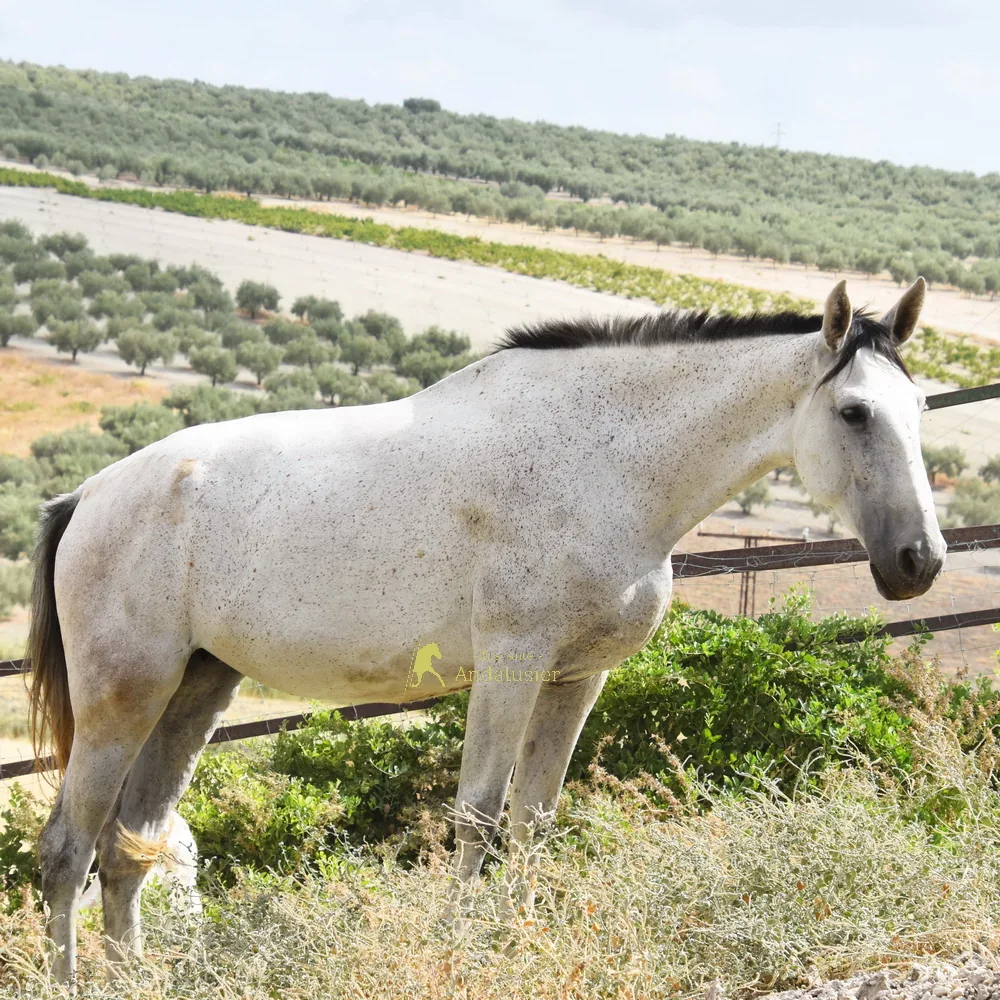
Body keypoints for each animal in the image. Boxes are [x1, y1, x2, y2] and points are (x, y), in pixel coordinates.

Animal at [26, 278, 945, 983]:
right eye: (855, 413)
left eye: (920, 408)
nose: (919, 560)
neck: (603, 463)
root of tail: (87, 497)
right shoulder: (512, 665)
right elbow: (477, 814)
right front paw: (461, 945)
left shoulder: (576, 677)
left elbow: (535, 816)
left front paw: (520, 936)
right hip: (123, 700)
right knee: (68, 850)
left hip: (196, 690)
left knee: (127, 850)